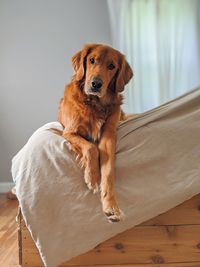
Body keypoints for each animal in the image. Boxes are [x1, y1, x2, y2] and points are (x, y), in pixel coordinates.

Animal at [57, 44, 133, 224]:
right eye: (92, 60)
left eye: (111, 66)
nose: (96, 84)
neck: (94, 103)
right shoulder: (69, 132)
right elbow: (91, 148)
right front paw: (92, 177)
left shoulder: (109, 136)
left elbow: (108, 170)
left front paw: (110, 206)